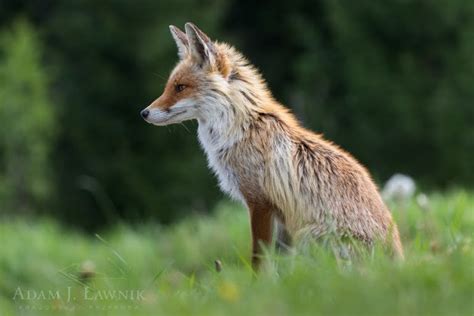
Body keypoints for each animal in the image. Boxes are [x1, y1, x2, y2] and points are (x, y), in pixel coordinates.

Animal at [141, 22, 404, 266]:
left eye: (180, 87)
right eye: (169, 86)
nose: (143, 113)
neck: (244, 129)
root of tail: (399, 263)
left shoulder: (260, 203)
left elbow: (259, 261)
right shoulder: (280, 216)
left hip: (309, 235)